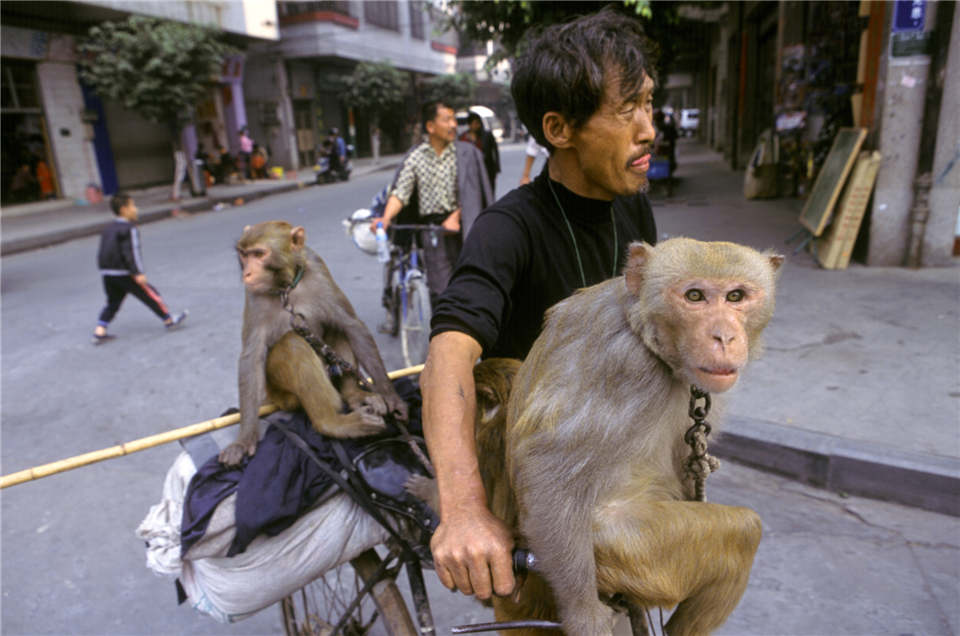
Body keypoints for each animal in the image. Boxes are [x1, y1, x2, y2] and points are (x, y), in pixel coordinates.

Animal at [219, 222, 406, 468]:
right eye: (244, 254)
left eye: (259, 254)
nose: (247, 273)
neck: (287, 287)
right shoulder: (253, 295)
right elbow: (251, 357)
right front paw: (243, 441)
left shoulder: (318, 269)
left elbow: (352, 325)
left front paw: (391, 396)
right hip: (282, 395)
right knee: (292, 344)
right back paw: (331, 423)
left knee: (337, 329)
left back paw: (354, 396)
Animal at [484, 238, 784, 636]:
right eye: (694, 296)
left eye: (736, 296)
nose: (725, 337)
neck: (641, 327)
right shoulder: (625, 366)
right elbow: (546, 467)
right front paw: (583, 615)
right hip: (622, 551)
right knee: (744, 530)